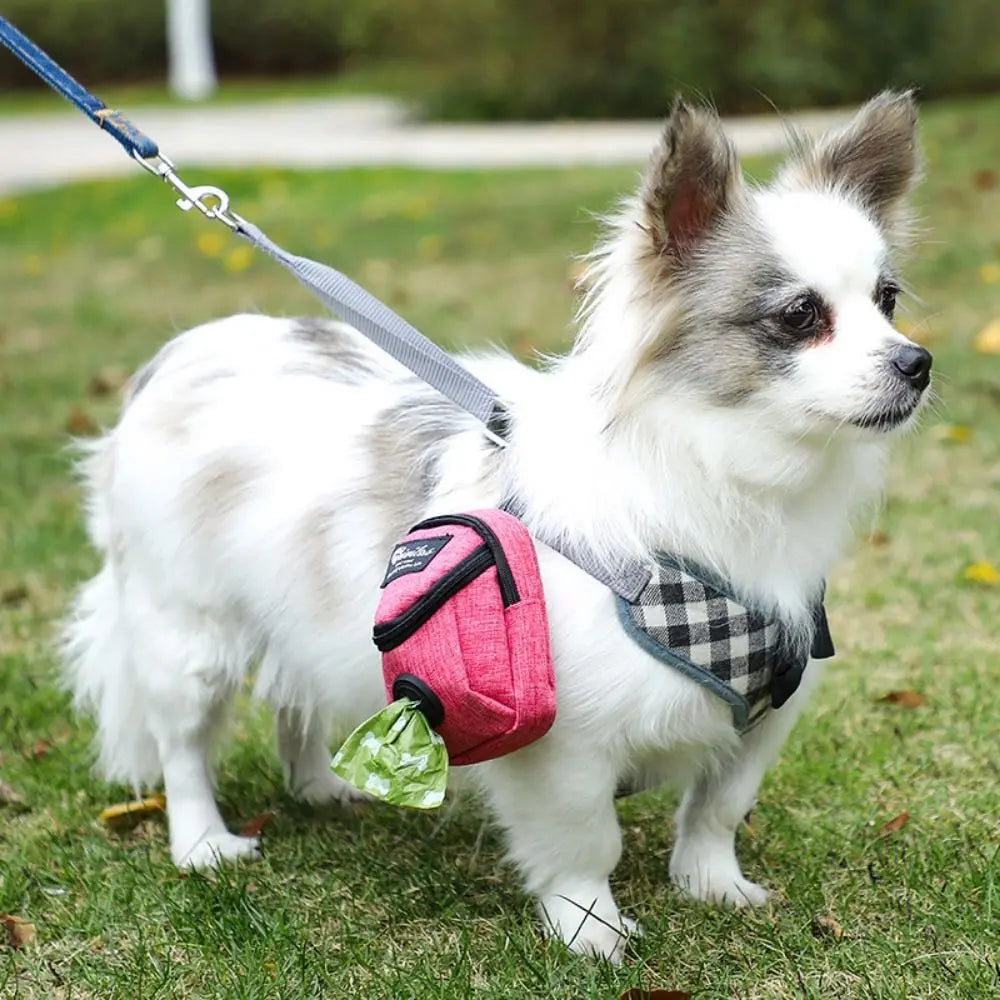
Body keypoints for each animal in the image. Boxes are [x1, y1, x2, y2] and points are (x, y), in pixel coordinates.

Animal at [64, 95, 928, 960]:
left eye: (887, 301)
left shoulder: (763, 715)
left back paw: (320, 788)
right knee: (183, 748)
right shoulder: (562, 745)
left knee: (297, 697)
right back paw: (204, 844)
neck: (728, 477)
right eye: (801, 314)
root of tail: (178, 355)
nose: (916, 363)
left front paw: (713, 886)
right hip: (189, 635)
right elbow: (586, 842)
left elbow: (716, 808)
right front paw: (591, 931)